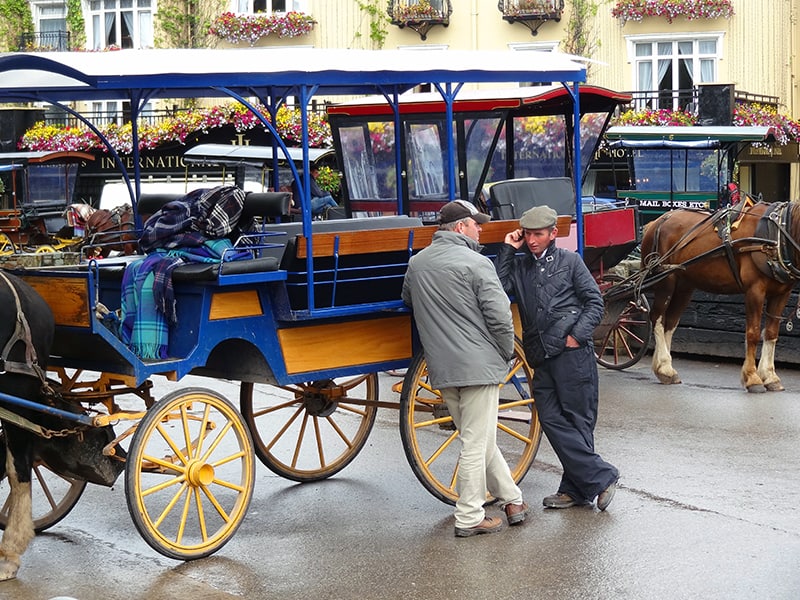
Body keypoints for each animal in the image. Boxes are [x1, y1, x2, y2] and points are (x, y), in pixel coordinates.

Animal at [640, 199, 800, 392]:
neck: (777, 234)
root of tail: (657, 222)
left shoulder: (782, 293)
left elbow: (771, 333)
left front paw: (770, 376)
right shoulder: (754, 290)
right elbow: (753, 333)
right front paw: (752, 378)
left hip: (684, 286)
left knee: (669, 322)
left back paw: (666, 369)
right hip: (666, 282)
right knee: (657, 318)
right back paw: (664, 366)